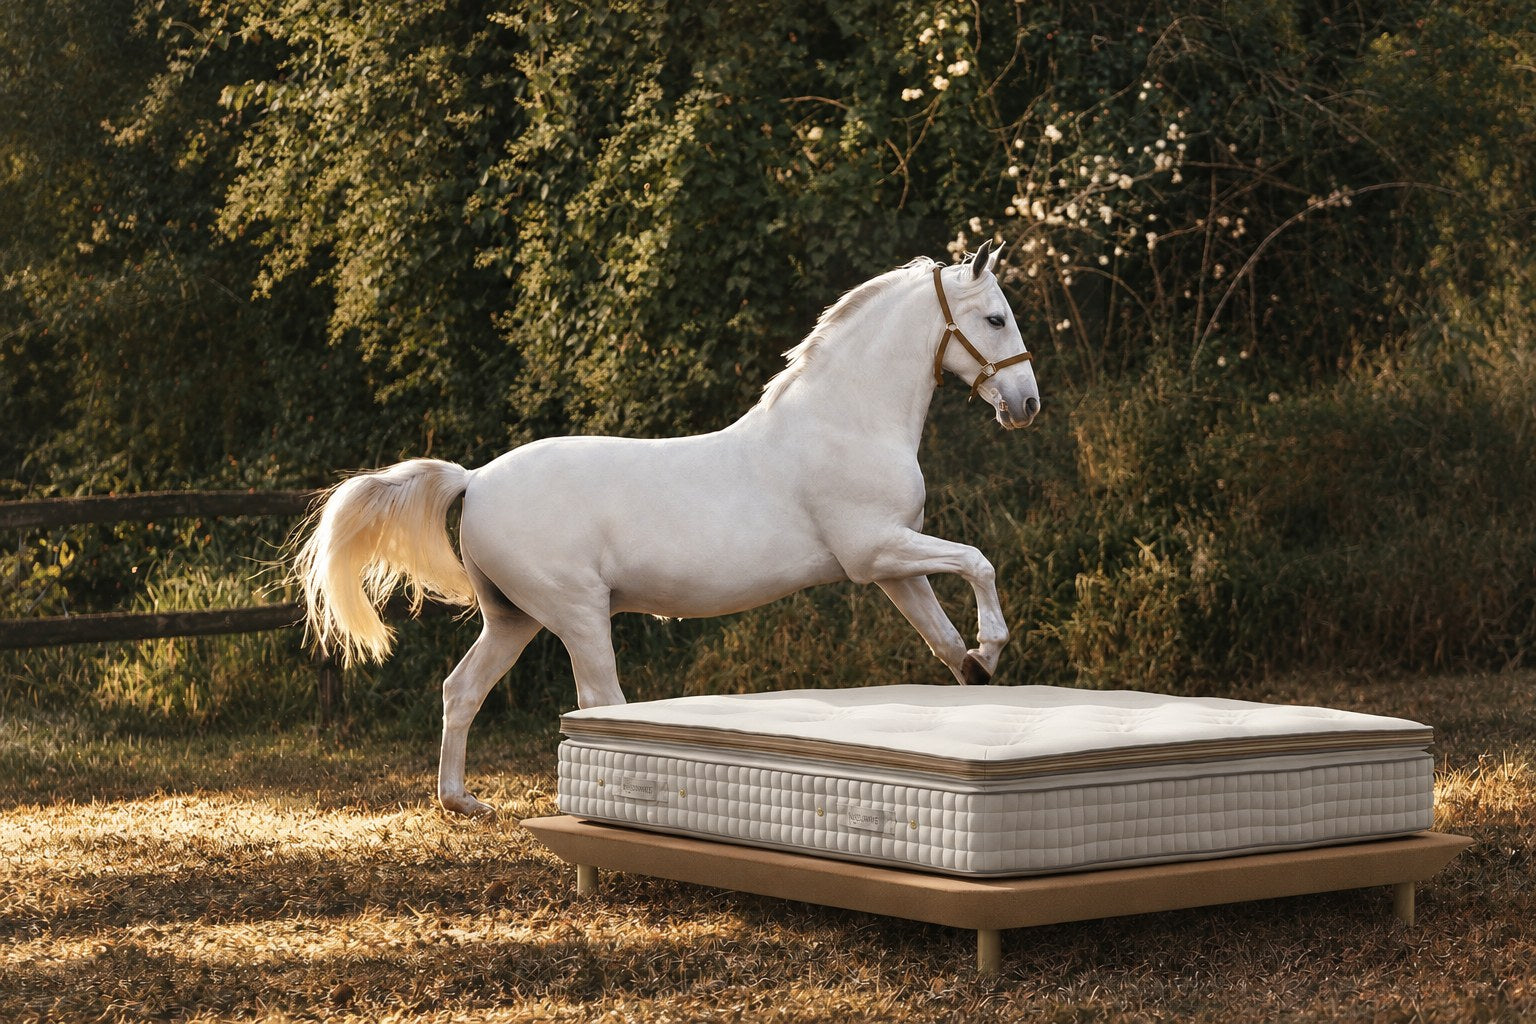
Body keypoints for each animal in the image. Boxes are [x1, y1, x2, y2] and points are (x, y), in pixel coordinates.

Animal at [292, 241, 1041, 816]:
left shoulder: (895, 567)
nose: (1027, 404)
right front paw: (995, 644)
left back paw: (461, 801)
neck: (847, 422)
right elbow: (978, 561)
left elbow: (947, 646)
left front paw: (980, 670)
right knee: (598, 701)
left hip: (513, 619)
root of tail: (474, 480)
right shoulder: (876, 552)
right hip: (577, 613)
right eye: (996, 318)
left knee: (462, 690)